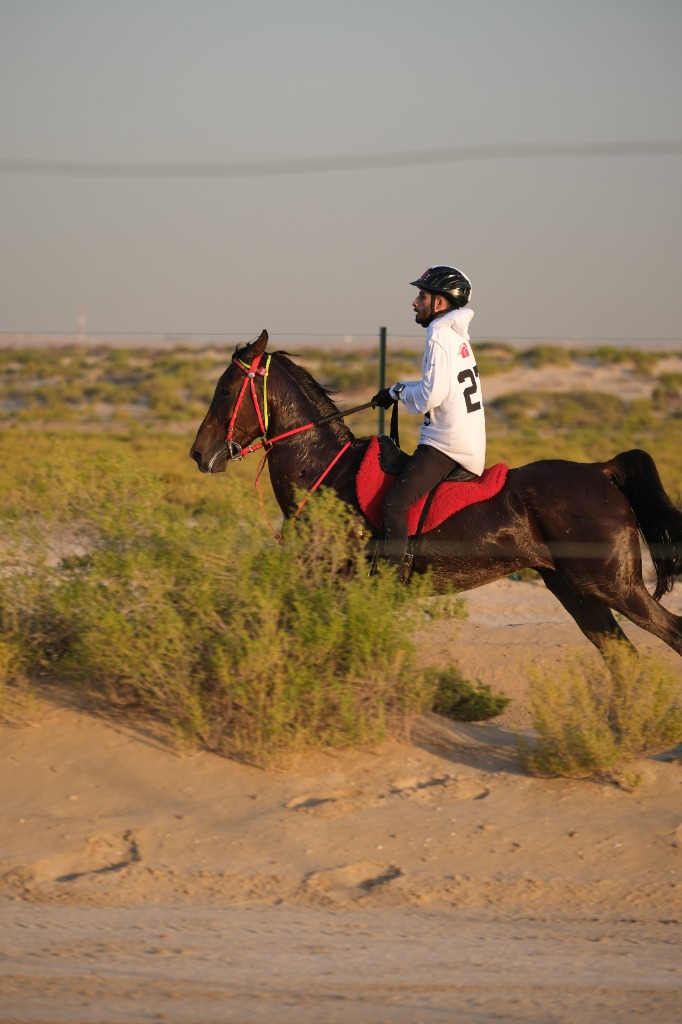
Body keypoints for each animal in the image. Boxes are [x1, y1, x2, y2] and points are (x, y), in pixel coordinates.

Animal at [190, 330, 682, 663]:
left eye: (225, 389)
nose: (199, 453)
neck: (326, 470)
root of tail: (600, 470)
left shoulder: (334, 584)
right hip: (573, 589)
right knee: (622, 657)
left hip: (615, 586)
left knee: (671, 634)